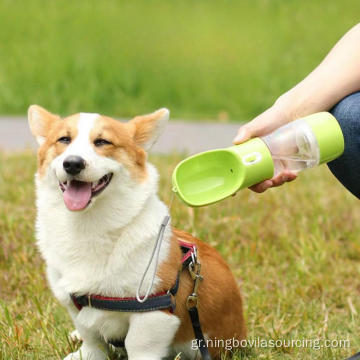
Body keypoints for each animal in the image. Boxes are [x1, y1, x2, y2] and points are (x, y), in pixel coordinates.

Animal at [28, 105, 246, 360]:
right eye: (64, 139)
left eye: (102, 141)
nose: (72, 163)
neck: (89, 224)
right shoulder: (75, 304)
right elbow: (91, 337)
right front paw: (86, 352)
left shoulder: (153, 312)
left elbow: (138, 344)